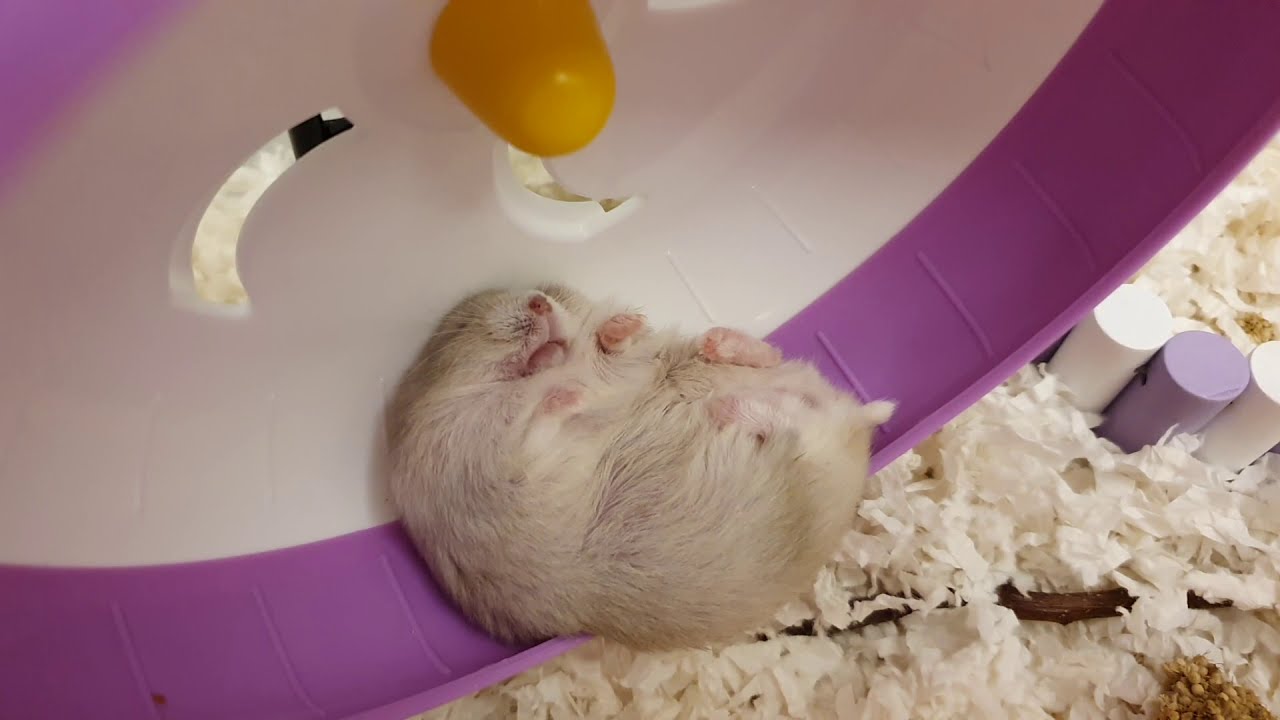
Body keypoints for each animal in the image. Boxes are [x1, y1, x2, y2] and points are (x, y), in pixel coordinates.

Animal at [386, 283, 894, 651]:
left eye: (548, 290)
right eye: (461, 326)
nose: (539, 300)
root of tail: (860, 428)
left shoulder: (629, 366)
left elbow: (614, 353)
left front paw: (621, 326)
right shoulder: (497, 475)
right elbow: (533, 434)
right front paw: (565, 396)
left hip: (807, 435)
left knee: (777, 378)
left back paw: (722, 353)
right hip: (810, 460)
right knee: (794, 424)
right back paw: (731, 406)